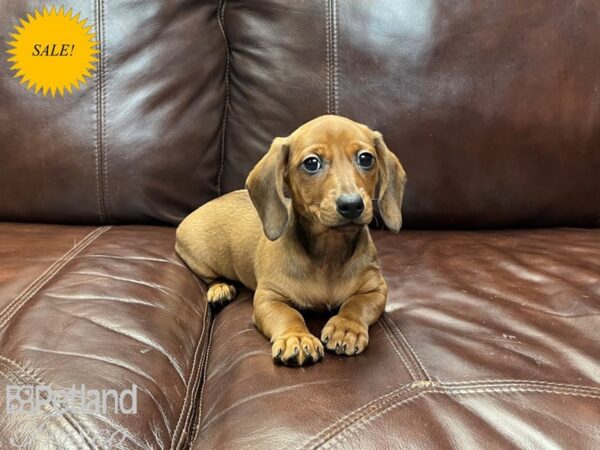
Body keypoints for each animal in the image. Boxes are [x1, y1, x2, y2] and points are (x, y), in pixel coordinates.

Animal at [176, 115, 406, 366]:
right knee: (210, 277)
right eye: (312, 163)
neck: (330, 253)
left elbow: (356, 304)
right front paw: (296, 337)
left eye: (366, 158)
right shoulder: (268, 298)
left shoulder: (376, 289)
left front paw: (346, 327)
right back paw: (220, 289)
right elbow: (288, 314)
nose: (352, 205)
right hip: (200, 258)